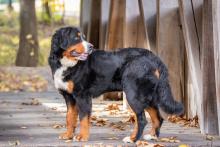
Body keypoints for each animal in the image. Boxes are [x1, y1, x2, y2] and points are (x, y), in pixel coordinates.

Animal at [48, 26, 184, 142]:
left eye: (84, 37)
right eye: (76, 38)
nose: (91, 46)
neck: (66, 64)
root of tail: (153, 56)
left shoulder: (82, 96)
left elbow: (83, 118)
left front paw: (82, 136)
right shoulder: (69, 97)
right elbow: (69, 117)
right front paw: (68, 135)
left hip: (133, 94)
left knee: (142, 119)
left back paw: (133, 139)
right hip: (147, 95)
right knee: (157, 117)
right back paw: (152, 136)